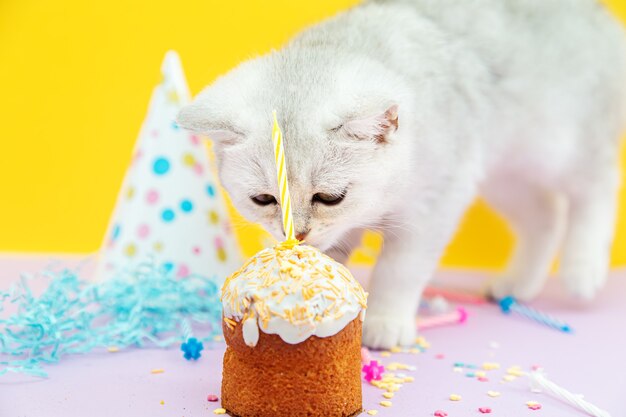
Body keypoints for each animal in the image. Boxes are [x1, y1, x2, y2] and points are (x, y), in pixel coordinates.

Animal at [177, 0, 624, 348]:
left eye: (330, 198)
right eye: (264, 200)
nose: (298, 235)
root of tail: (603, 22)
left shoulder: (434, 205)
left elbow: (398, 270)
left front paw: (385, 323)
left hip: (558, 146)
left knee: (596, 186)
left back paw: (582, 269)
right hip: (504, 175)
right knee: (546, 215)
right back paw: (518, 283)